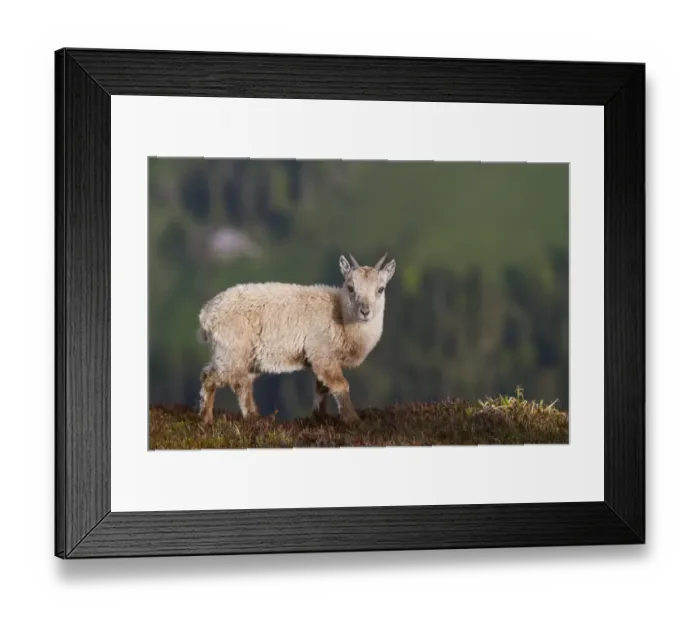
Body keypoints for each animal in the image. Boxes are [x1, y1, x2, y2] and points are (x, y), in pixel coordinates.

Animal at [197, 253, 396, 425]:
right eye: (350, 287)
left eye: (381, 289)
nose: (365, 311)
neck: (340, 316)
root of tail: (207, 314)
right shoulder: (322, 353)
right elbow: (340, 385)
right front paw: (352, 419)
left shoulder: (322, 359)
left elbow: (321, 387)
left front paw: (320, 417)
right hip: (233, 350)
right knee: (220, 378)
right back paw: (219, 418)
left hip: (240, 356)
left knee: (237, 380)